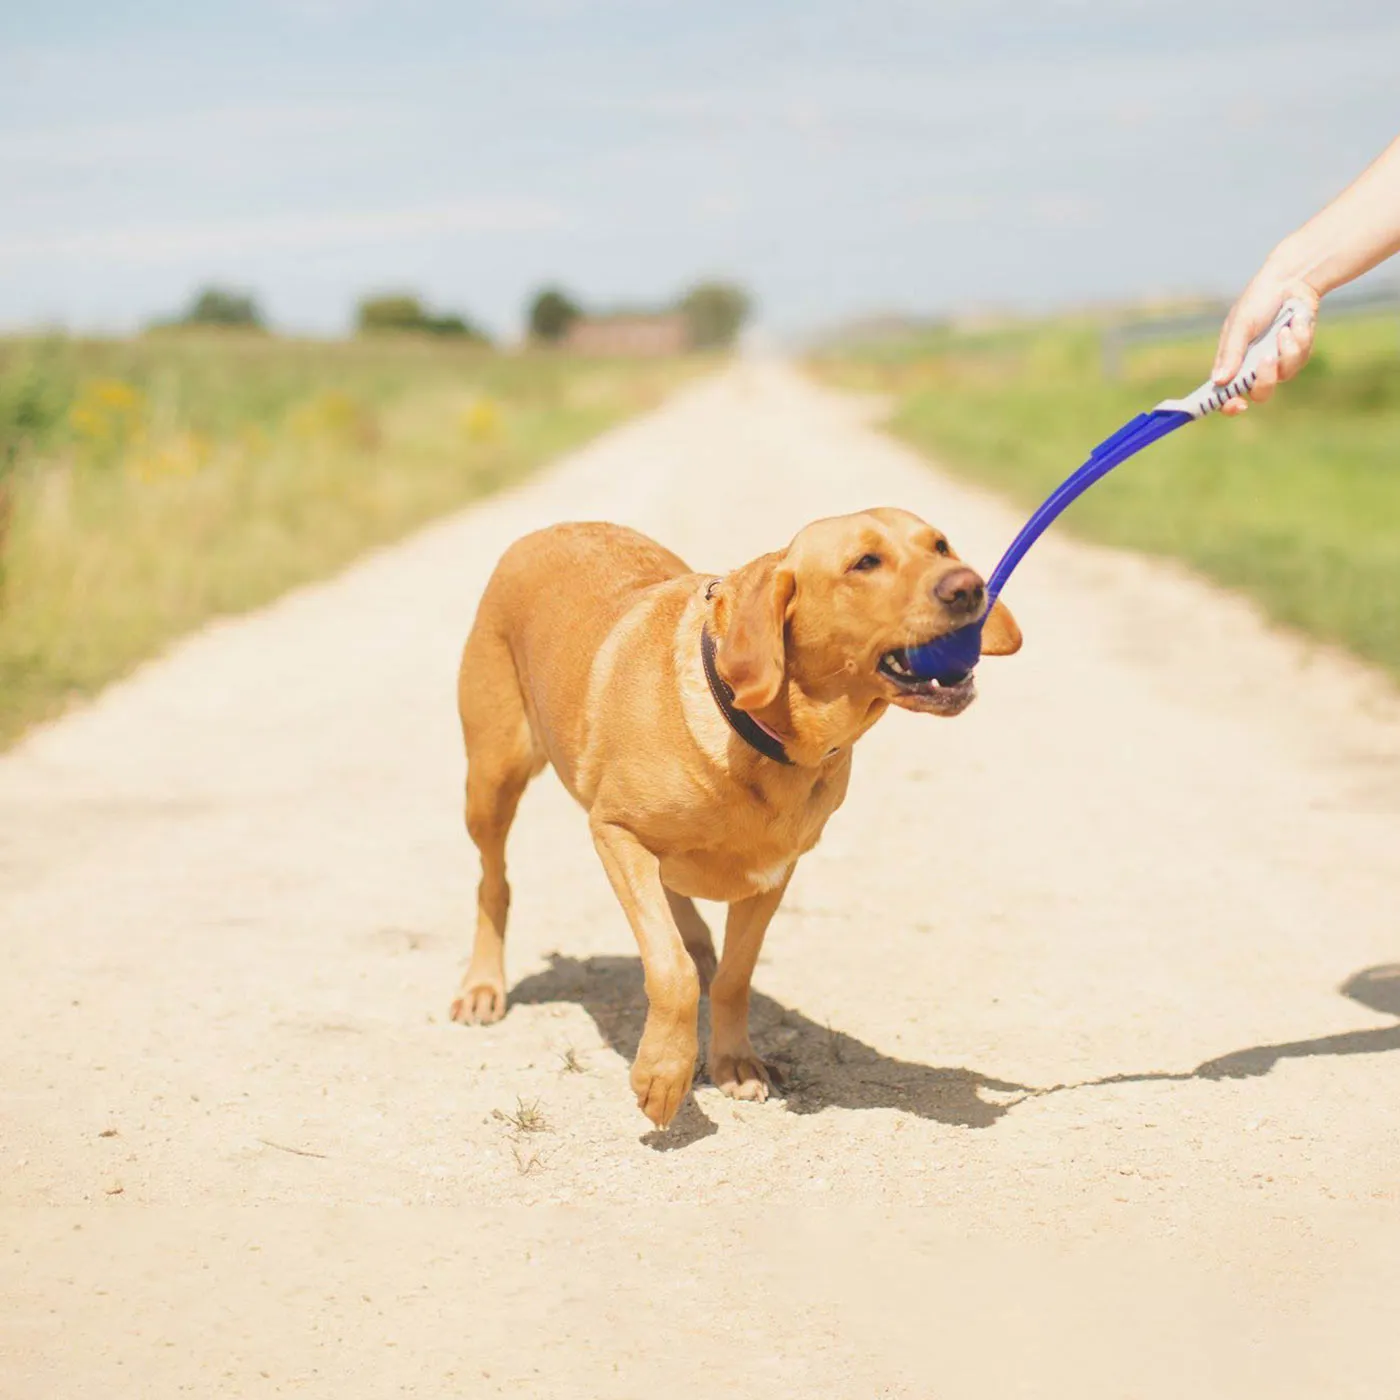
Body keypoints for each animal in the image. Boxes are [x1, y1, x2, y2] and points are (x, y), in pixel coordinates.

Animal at [448, 509, 1019, 1131]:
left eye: (940, 545)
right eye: (864, 563)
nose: (969, 587)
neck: (761, 735)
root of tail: (550, 529)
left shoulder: (772, 876)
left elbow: (733, 977)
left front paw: (733, 1061)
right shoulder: (615, 832)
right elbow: (670, 969)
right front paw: (664, 1074)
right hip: (491, 783)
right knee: (493, 883)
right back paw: (484, 986)